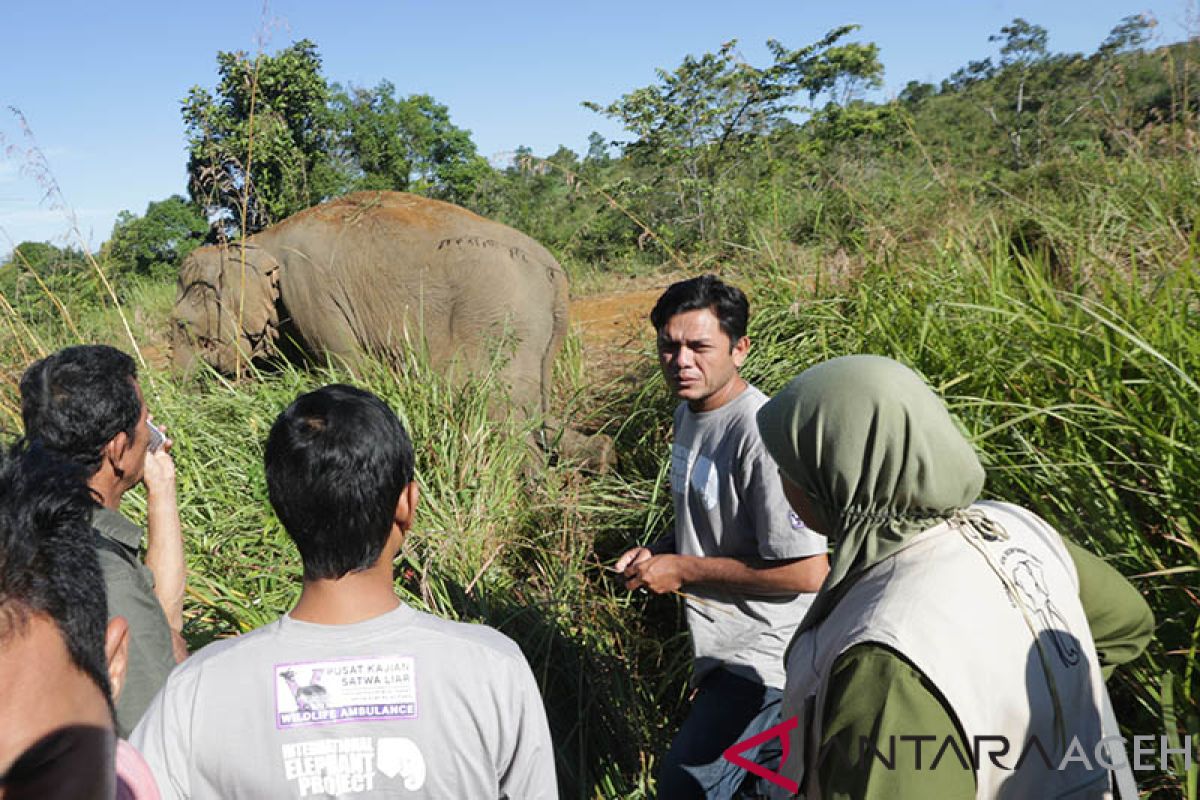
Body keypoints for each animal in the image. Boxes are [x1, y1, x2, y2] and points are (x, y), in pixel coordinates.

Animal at [174, 193, 614, 465]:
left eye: (181, 325)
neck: (257, 240)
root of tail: (552, 272)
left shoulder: (312, 296)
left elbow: (349, 371)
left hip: (501, 318)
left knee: (496, 413)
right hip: (543, 335)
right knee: (538, 414)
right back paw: (603, 456)